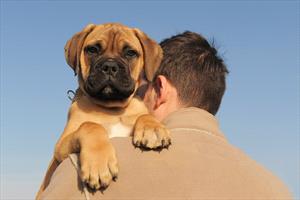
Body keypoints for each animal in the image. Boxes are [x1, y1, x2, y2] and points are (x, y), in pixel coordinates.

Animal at [36, 23, 170, 198]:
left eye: (130, 53)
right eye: (92, 50)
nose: (110, 66)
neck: (112, 109)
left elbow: (144, 115)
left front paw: (152, 128)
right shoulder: (61, 146)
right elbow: (90, 125)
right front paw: (98, 164)